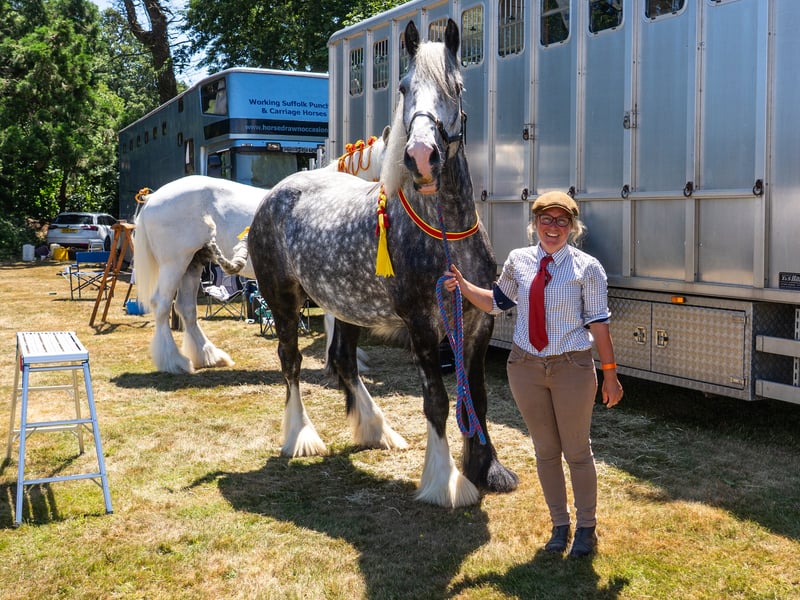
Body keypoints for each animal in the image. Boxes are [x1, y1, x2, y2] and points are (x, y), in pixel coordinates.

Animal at [133, 128, 389, 375]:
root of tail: (152, 197)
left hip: (193, 264)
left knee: (186, 309)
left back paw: (208, 357)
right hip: (174, 263)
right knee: (161, 304)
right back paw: (173, 362)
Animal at [247, 19, 519, 508]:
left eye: (456, 86)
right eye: (405, 87)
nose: (422, 156)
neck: (444, 234)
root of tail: (273, 195)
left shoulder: (477, 320)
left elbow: (478, 396)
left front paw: (488, 469)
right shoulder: (423, 325)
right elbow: (437, 402)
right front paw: (445, 482)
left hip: (346, 306)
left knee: (343, 360)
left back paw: (376, 429)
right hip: (282, 301)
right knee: (291, 362)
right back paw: (301, 438)